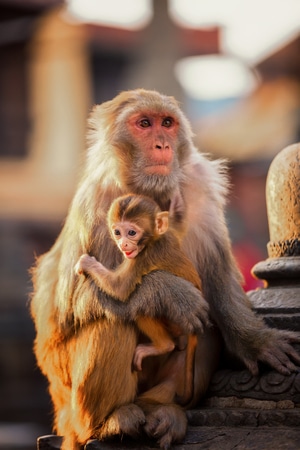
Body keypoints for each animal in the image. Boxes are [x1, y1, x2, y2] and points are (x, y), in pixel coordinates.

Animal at [75, 194, 209, 404]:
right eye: (117, 232)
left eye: (131, 232)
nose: (123, 244)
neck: (153, 239)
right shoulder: (169, 236)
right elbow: (177, 230)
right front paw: (175, 211)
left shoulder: (142, 258)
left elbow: (119, 288)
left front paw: (87, 263)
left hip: (174, 320)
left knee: (141, 306)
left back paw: (164, 345)